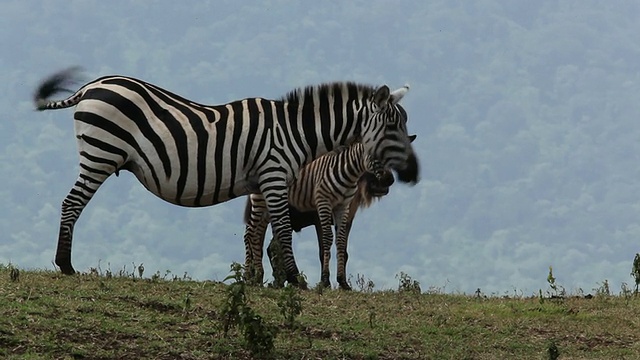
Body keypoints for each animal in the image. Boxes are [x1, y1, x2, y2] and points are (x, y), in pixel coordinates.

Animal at [244, 138, 416, 290]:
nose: (384, 184)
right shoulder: (319, 214)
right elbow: (323, 247)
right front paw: (324, 281)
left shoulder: (348, 217)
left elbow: (343, 247)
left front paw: (342, 282)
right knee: (254, 237)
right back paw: (256, 277)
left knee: (269, 244)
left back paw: (274, 279)